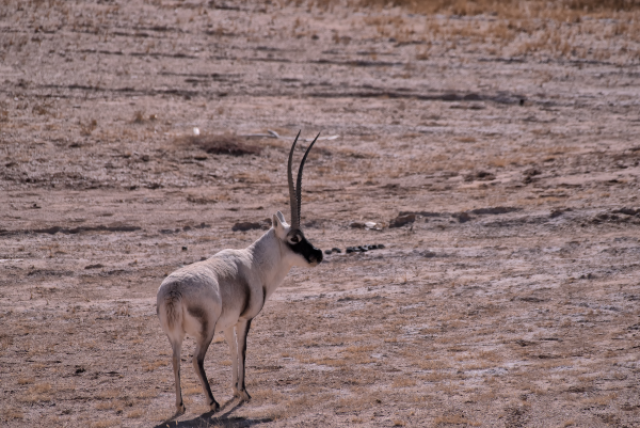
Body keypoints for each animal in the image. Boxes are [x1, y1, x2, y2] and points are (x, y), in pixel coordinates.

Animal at [156, 130, 324, 414]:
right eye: (294, 238)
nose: (318, 255)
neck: (255, 261)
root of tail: (173, 291)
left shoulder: (228, 324)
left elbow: (233, 350)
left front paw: (235, 390)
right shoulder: (245, 319)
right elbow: (243, 349)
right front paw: (243, 392)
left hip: (174, 335)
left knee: (175, 359)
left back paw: (180, 406)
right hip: (205, 332)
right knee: (196, 359)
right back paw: (212, 403)